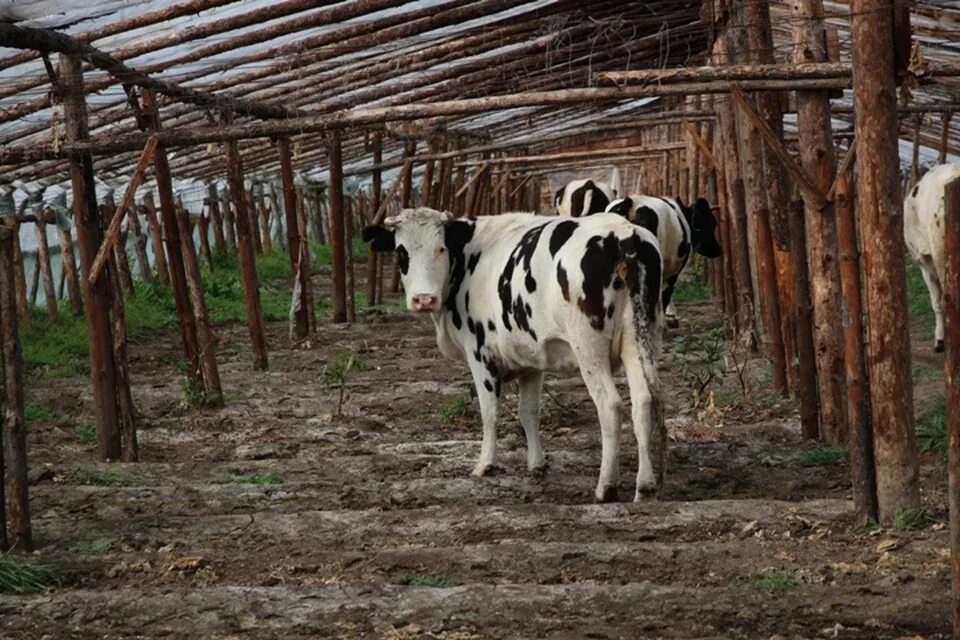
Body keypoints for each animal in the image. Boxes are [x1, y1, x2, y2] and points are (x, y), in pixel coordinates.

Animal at [364, 208, 664, 502]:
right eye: (401, 251)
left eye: (441, 248)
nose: (424, 299)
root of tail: (624, 233)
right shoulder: (532, 360)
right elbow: (528, 412)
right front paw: (537, 464)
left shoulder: (479, 355)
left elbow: (489, 412)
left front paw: (485, 464)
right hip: (639, 342)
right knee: (644, 401)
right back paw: (645, 485)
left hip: (589, 347)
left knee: (610, 406)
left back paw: (606, 486)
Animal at [600, 194, 720, 324]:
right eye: (711, 223)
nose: (718, 249)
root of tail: (630, 203)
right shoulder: (674, 271)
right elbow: (666, 295)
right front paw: (670, 316)